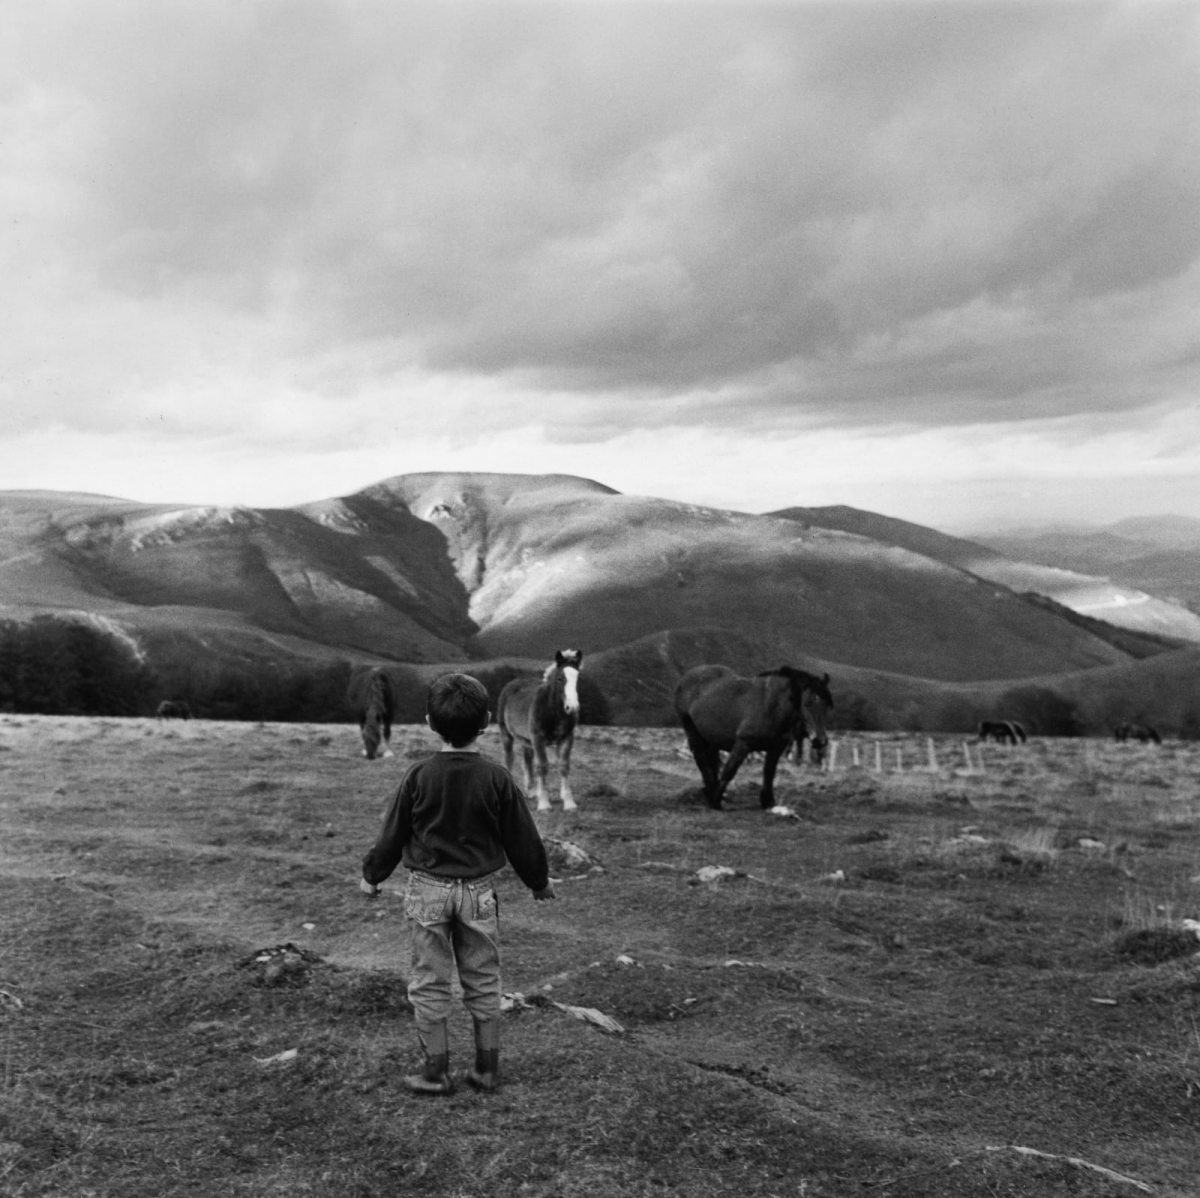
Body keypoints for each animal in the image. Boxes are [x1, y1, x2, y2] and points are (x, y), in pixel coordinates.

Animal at [494, 653, 583, 811]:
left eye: (577, 678)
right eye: (560, 678)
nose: (572, 707)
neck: (552, 711)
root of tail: (512, 684)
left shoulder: (567, 738)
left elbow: (564, 766)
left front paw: (569, 802)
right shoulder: (538, 738)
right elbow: (542, 766)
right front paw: (544, 804)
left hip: (526, 740)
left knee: (527, 759)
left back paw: (530, 791)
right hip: (506, 734)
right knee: (509, 757)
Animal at [676, 667, 835, 816]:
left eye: (827, 704)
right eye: (807, 703)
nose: (820, 740)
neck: (772, 707)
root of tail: (686, 677)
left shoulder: (776, 748)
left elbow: (769, 773)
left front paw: (768, 802)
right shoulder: (742, 744)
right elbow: (729, 771)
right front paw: (715, 802)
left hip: (711, 738)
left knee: (712, 762)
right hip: (692, 731)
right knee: (702, 760)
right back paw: (711, 792)